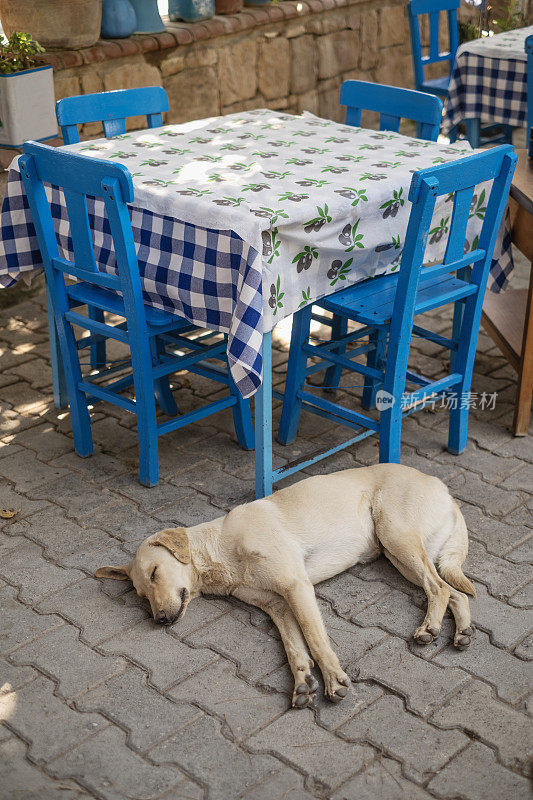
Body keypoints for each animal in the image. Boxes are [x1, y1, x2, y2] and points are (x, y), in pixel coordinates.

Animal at [95, 462, 474, 708]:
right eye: (142, 595)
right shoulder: (276, 604)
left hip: (396, 537)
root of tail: (442, 486)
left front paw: (333, 678)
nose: (159, 619)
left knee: (439, 588)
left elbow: (316, 641)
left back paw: (429, 627)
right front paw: (303, 681)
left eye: (155, 572)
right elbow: (294, 647)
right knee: (454, 591)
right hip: (398, 554)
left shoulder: (296, 588)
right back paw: (462, 631)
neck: (220, 551)